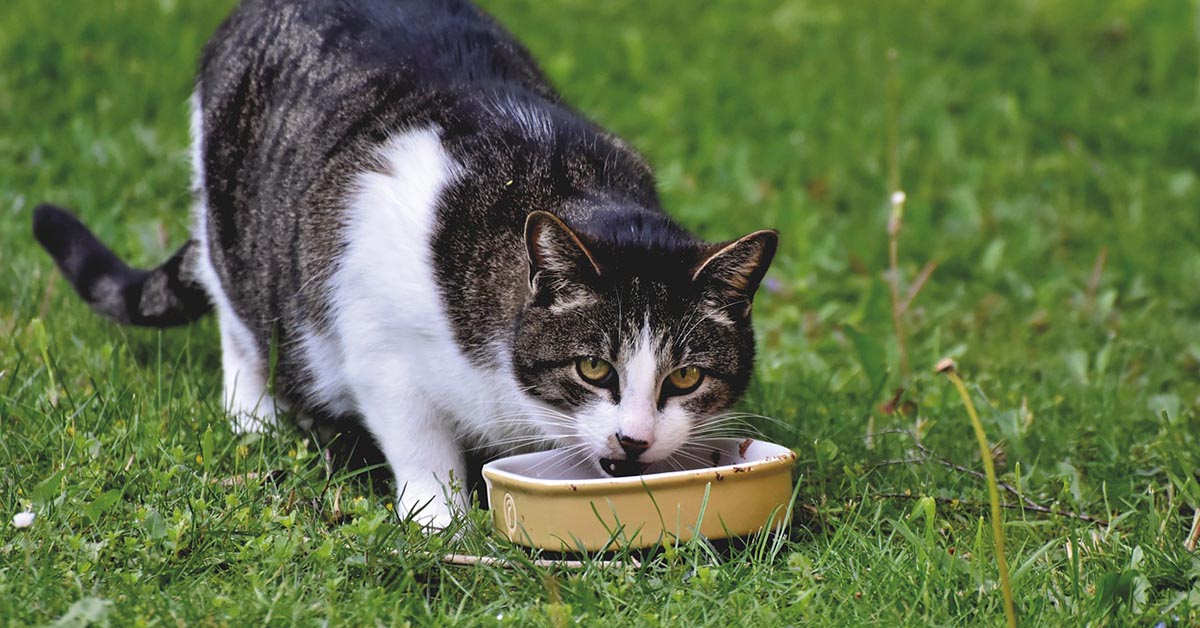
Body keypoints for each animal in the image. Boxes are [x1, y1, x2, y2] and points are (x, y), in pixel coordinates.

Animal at [32, 0, 777, 530]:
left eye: (685, 377)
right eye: (593, 368)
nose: (634, 440)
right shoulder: (378, 344)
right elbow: (419, 441)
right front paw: (441, 519)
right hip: (233, 228)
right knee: (238, 317)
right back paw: (254, 414)